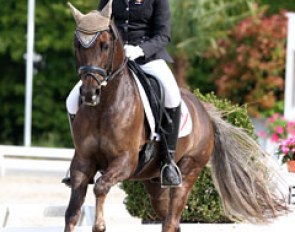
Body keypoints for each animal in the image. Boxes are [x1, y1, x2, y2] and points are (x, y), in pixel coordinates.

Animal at [65, 2, 290, 232]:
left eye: (105, 46)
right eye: (77, 46)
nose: (90, 94)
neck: (104, 106)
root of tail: (205, 113)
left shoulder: (125, 160)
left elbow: (100, 187)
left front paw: (99, 224)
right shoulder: (82, 161)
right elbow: (72, 213)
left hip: (189, 169)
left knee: (171, 220)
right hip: (154, 182)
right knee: (170, 219)